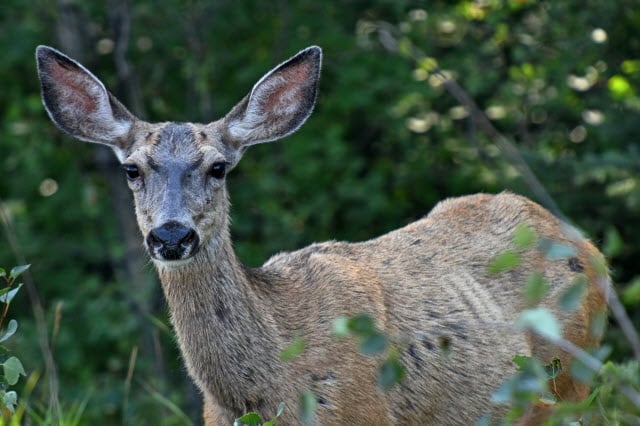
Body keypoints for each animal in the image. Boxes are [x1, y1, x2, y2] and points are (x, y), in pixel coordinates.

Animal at [37, 45, 608, 424]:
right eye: (131, 169)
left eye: (219, 167)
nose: (172, 236)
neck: (267, 390)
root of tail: (585, 243)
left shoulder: (364, 412)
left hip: (571, 382)